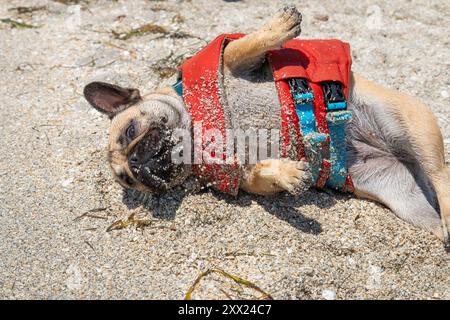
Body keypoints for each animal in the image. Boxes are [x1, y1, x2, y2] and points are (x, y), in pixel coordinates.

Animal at [84, 6, 450, 246]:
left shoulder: (230, 67)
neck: (200, 132)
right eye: (128, 180)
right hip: (406, 198)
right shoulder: (245, 175)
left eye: (131, 131)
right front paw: (288, 174)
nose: (135, 163)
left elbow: (241, 47)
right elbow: (261, 173)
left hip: (410, 125)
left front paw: (278, 27)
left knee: (440, 176)